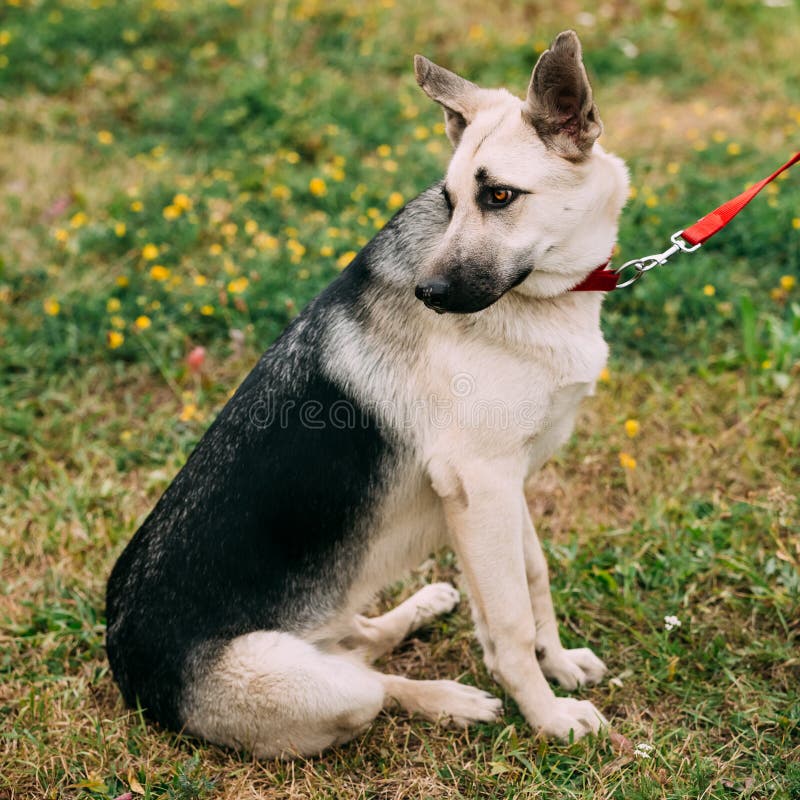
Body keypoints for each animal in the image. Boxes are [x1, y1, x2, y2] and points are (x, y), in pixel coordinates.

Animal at [106, 29, 632, 756]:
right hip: (322, 686)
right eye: (449, 200)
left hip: (343, 618)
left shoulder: (504, 484)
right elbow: (509, 625)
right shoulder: (481, 483)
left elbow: (533, 583)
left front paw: (558, 666)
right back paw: (454, 700)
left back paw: (422, 609)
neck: (544, 298)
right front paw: (546, 716)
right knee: (374, 684)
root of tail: (124, 667)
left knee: (363, 641)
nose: (428, 294)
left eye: (499, 196)